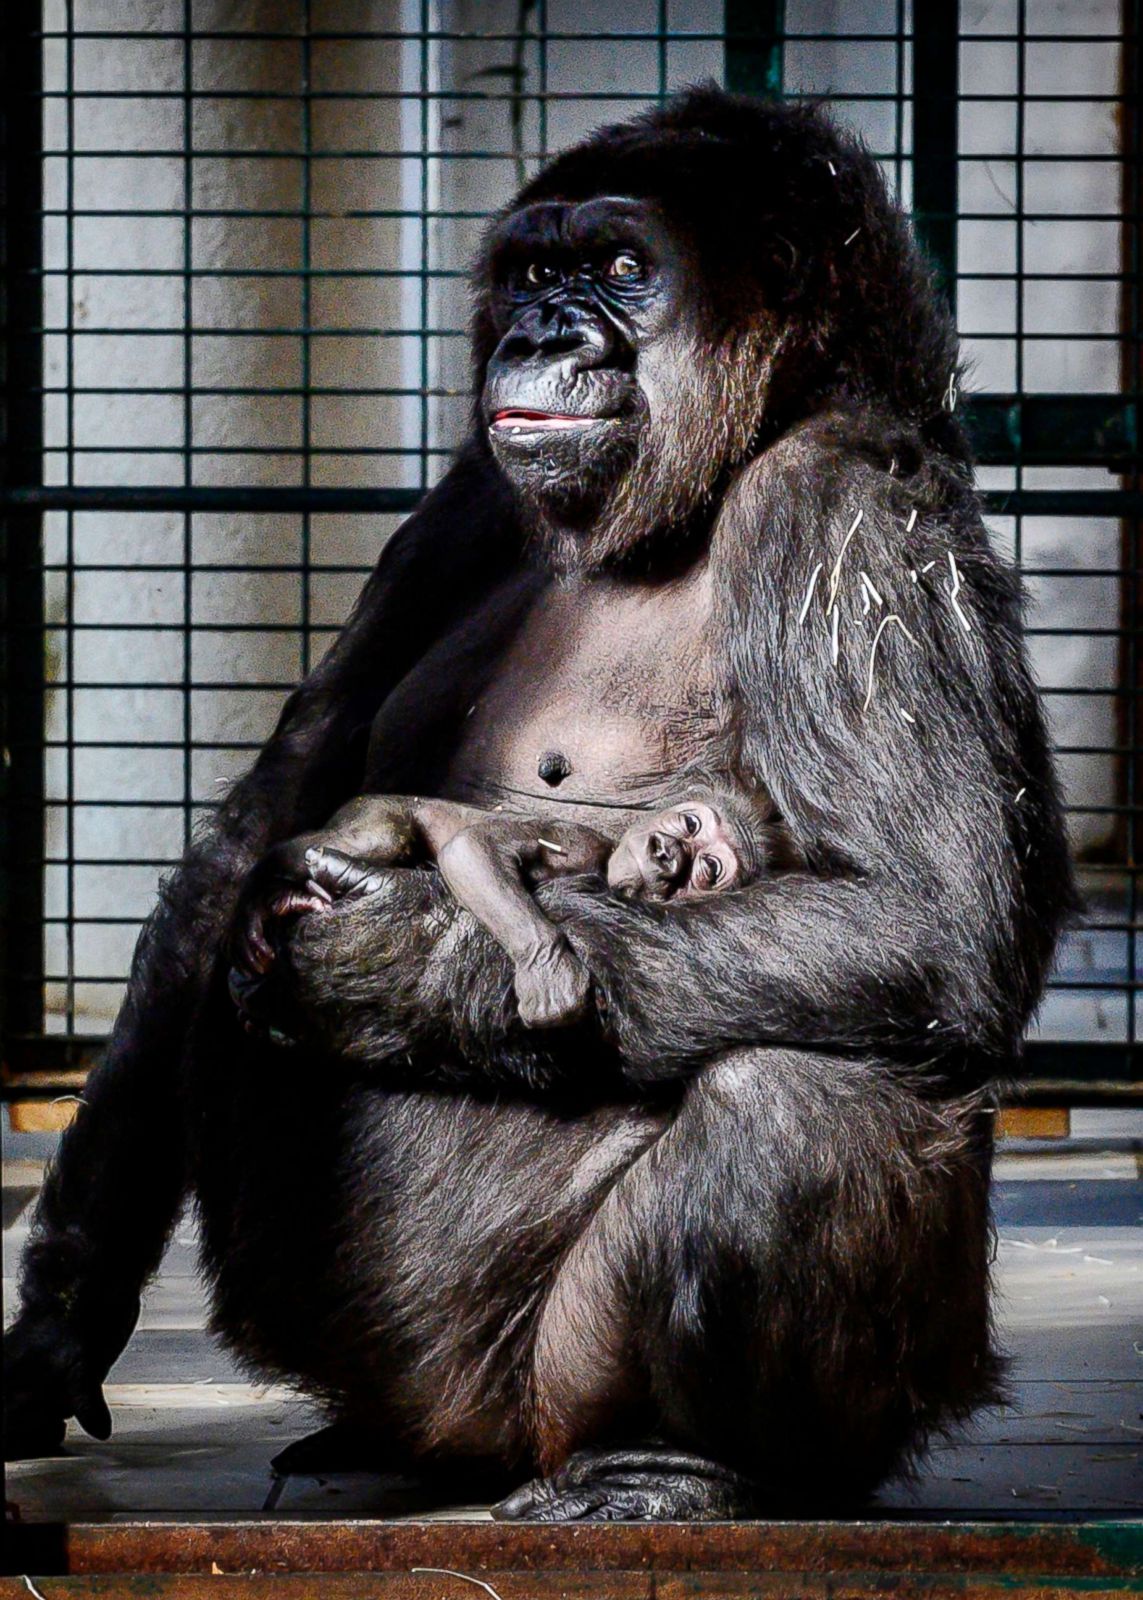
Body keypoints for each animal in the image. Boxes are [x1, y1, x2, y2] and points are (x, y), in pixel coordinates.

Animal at [232, 793, 784, 1030]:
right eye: (689, 823)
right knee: (378, 835)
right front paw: (549, 970)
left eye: (708, 869)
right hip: (370, 809)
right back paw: (255, 895)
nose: (667, 851)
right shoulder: (575, 840)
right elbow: (472, 847)